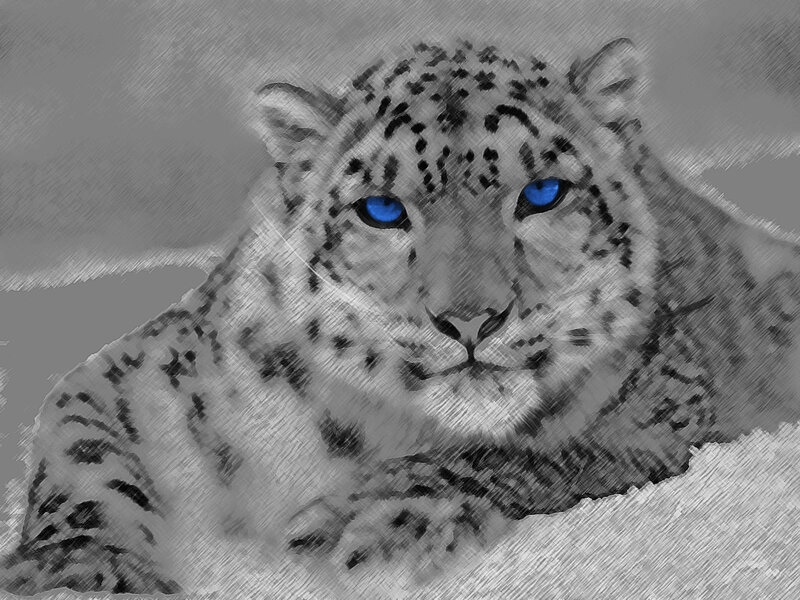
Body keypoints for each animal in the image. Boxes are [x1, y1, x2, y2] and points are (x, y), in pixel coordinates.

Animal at [3, 36, 800, 599]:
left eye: (543, 193)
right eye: (382, 209)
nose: (471, 319)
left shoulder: (656, 415)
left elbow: (523, 453)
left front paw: (361, 523)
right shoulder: (136, 377)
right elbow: (86, 464)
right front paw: (73, 572)